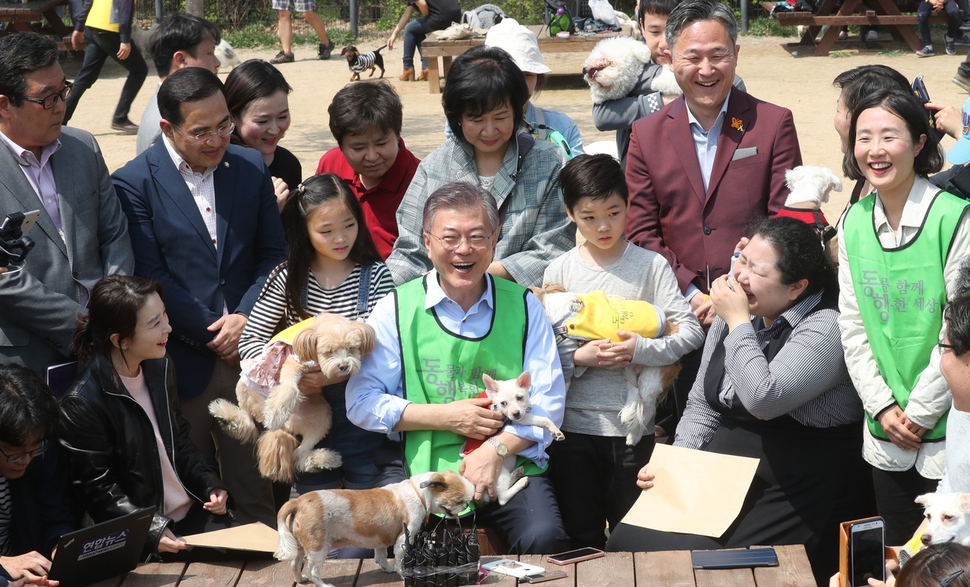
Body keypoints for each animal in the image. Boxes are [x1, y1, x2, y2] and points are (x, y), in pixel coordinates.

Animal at [208, 312, 374, 482]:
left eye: (351, 348)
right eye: (328, 351)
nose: (344, 366)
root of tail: (286, 426)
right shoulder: (294, 362)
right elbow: (289, 388)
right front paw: (275, 413)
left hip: (322, 418)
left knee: (299, 454)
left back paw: (323, 460)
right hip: (244, 385)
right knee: (247, 420)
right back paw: (227, 417)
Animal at [274, 468, 474, 587]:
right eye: (458, 501)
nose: (467, 506)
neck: (420, 493)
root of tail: (298, 501)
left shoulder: (380, 539)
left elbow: (381, 556)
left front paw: (388, 568)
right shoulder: (404, 538)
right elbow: (400, 559)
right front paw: (402, 573)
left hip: (301, 545)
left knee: (295, 564)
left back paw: (300, 579)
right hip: (318, 547)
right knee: (312, 570)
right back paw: (323, 584)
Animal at [528, 284, 680, 446]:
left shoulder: (566, 356)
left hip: (652, 377)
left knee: (648, 408)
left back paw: (634, 436)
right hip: (631, 370)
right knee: (635, 395)